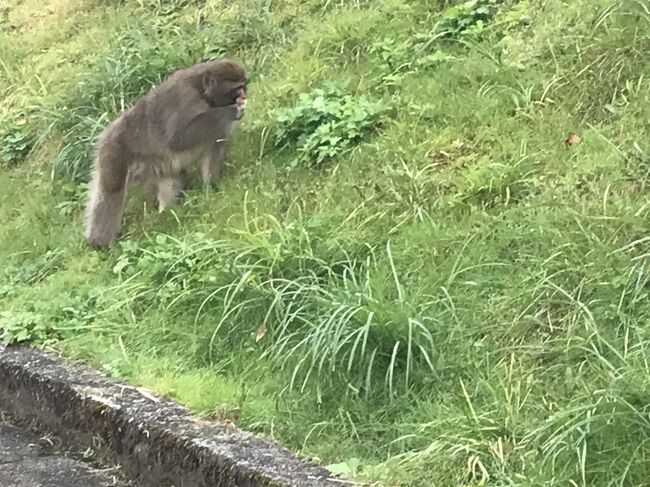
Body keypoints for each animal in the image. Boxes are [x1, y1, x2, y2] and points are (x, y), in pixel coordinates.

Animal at [82, 58, 247, 248]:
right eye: (236, 88)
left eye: (244, 86)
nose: (244, 96)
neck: (202, 91)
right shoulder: (185, 98)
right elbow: (177, 138)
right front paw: (232, 110)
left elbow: (216, 140)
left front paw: (210, 188)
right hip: (113, 151)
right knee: (111, 190)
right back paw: (99, 243)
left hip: (157, 164)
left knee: (175, 175)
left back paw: (168, 214)